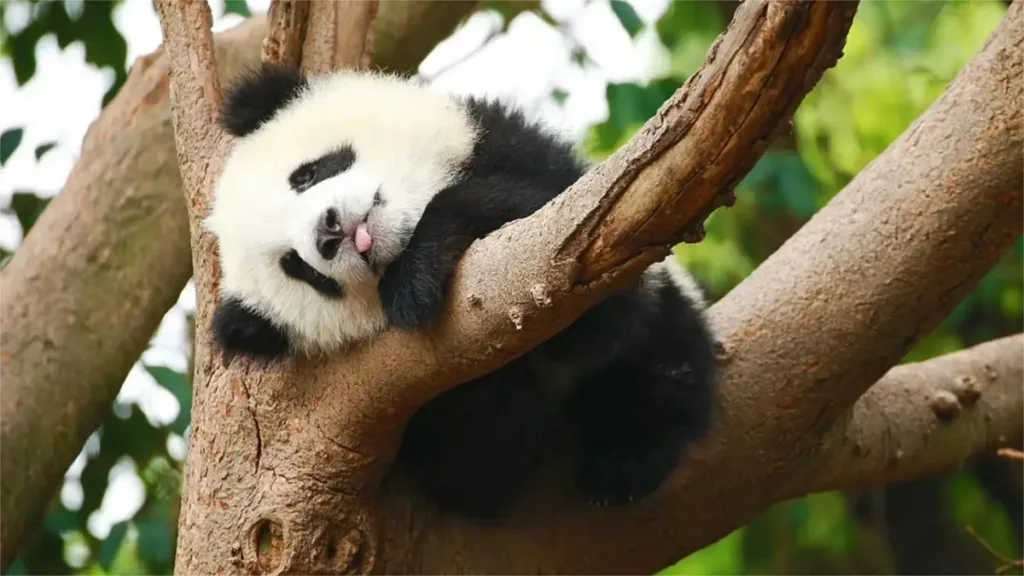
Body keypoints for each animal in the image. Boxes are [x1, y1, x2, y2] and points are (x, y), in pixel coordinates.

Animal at [205, 63, 717, 519]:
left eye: (305, 175)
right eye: (296, 267)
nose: (329, 232)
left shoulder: (511, 147)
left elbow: (583, 262)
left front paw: (418, 273)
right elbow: (484, 463)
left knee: (664, 362)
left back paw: (625, 458)